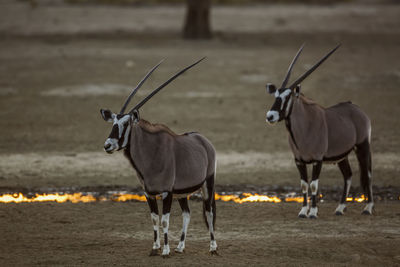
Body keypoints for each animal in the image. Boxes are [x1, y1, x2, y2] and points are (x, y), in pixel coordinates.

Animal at [101, 59, 217, 258]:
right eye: (113, 122)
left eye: (126, 123)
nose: (108, 145)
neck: (151, 153)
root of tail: (204, 141)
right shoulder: (149, 193)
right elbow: (154, 219)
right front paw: (155, 248)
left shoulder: (166, 193)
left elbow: (164, 221)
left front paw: (165, 250)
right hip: (182, 193)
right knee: (187, 213)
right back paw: (180, 247)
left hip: (207, 183)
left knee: (208, 212)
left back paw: (213, 248)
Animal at [264, 44, 374, 218]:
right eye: (276, 95)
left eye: (288, 97)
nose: (270, 116)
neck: (304, 129)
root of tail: (358, 110)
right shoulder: (299, 161)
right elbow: (304, 185)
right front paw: (303, 211)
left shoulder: (318, 160)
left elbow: (314, 185)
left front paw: (313, 212)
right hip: (342, 156)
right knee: (348, 175)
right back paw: (340, 208)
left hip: (363, 147)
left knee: (367, 174)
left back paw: (368, 208)